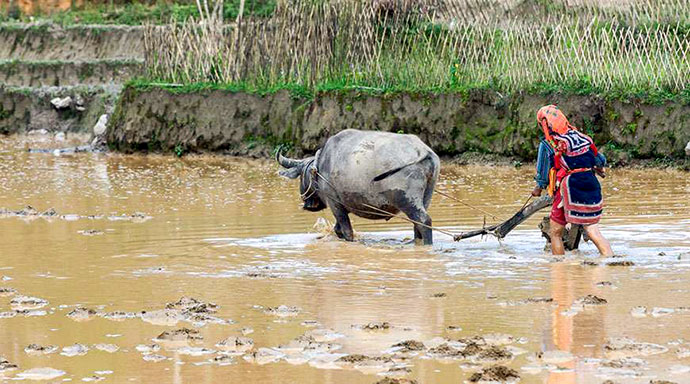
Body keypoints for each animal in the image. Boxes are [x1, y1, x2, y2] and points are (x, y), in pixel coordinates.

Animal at [276, 127, 438, 244]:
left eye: (301, 177)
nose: (308, 206)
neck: (321, 165)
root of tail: (424, 150)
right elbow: (338, 230)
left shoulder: (335, 204)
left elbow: (346, 231)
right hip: (426, 198)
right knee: (418, 225)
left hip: (407, 200)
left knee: (424, 221)